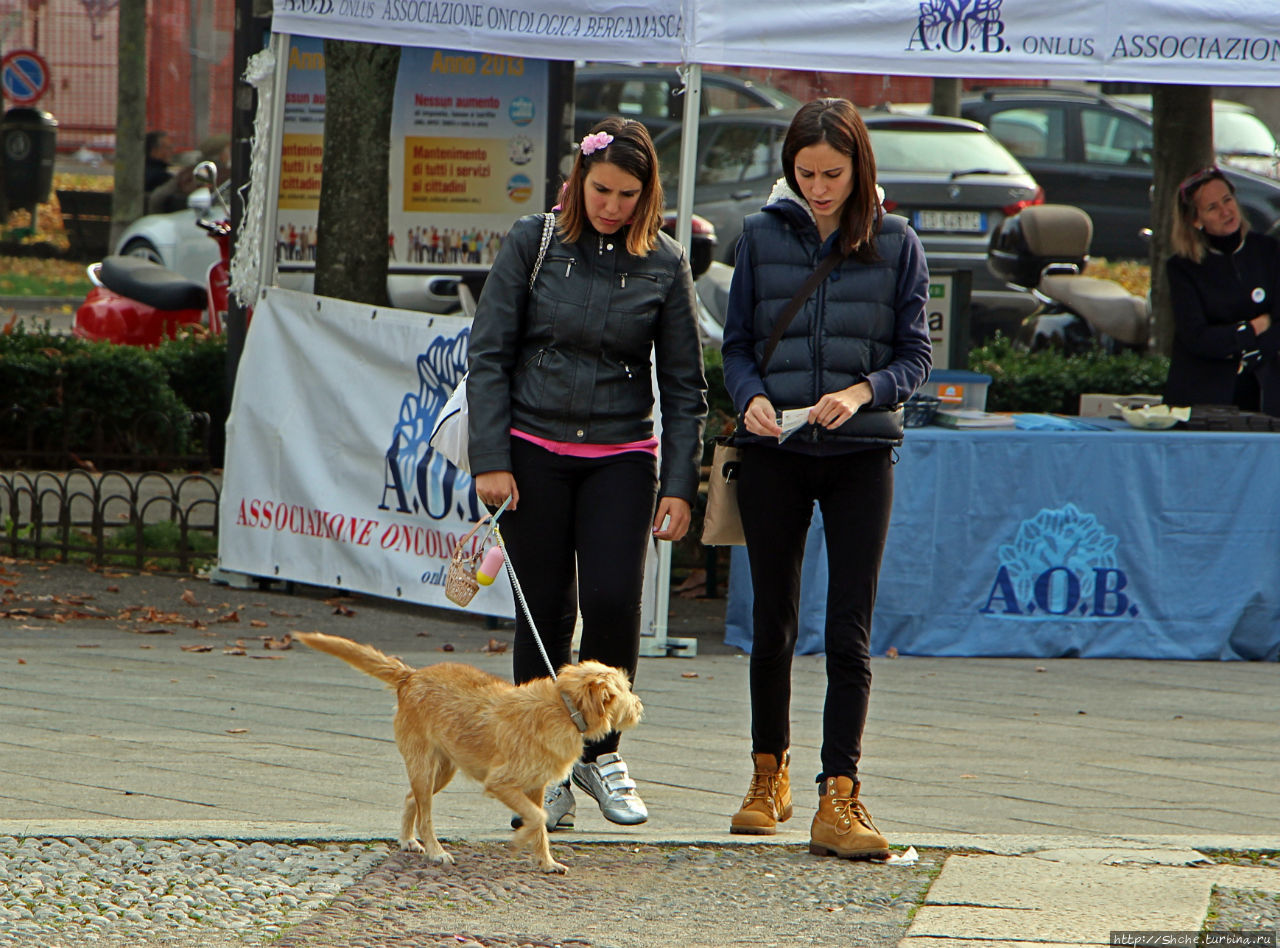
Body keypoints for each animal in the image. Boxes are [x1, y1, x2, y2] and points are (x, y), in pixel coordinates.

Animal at [294, 632, 645, 869]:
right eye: (624, 690)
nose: (640, 706)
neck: (564, 707)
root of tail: (411, 676)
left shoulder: (535, 786)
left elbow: (540, 823)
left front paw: (545, 862)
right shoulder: (502, 783)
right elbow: (538, 817)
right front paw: (522, 841)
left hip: (441, 770)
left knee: (410, 800)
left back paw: (408, 840)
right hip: (424, 768)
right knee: (425, 816)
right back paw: (436, 851)